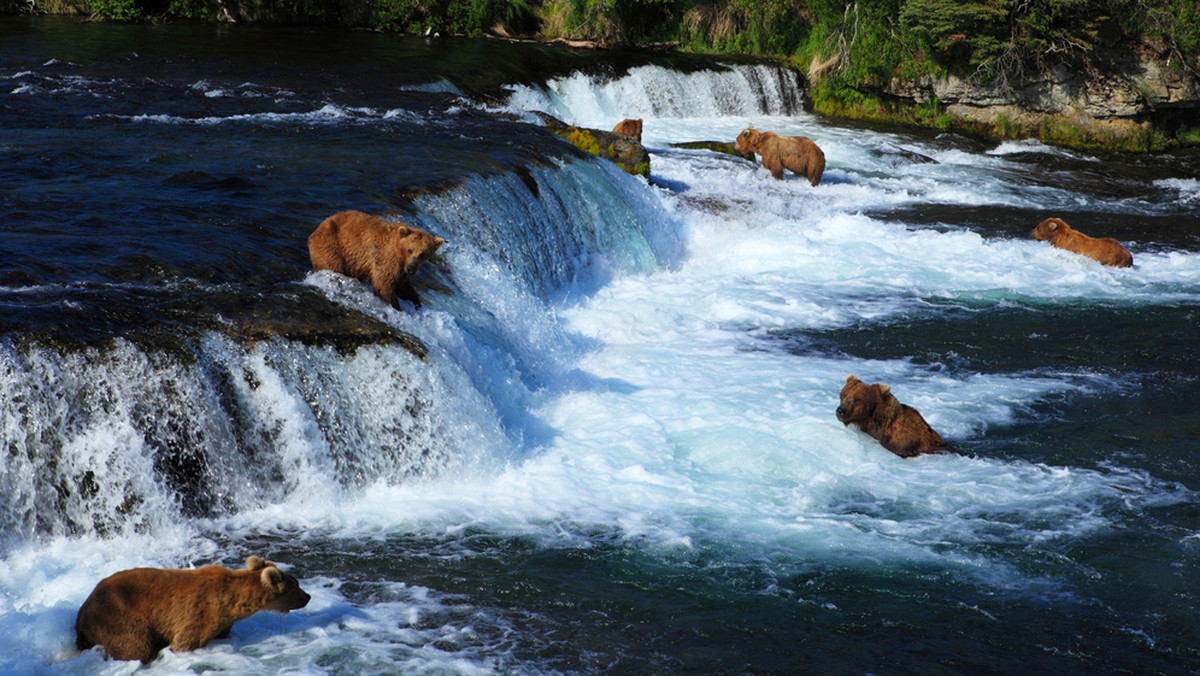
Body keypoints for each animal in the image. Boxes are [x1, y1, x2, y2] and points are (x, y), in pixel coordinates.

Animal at [75, 557, 309, 662]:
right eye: (296, 585)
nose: (308, 597)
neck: (232, 601)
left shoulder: (224, 622)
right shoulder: (200, 613)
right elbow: (185, 641)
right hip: (116, 614)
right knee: (136, 644)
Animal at [307, 210, 444, 309]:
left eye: (423, 254)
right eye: (410, 250)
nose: (411, 268)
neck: (400, 254)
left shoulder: (402, 270)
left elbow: (403, 287)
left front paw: (416, 302)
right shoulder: (387, 258)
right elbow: (383, 284)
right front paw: (396, 307)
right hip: (332, 244)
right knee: (332, 266)